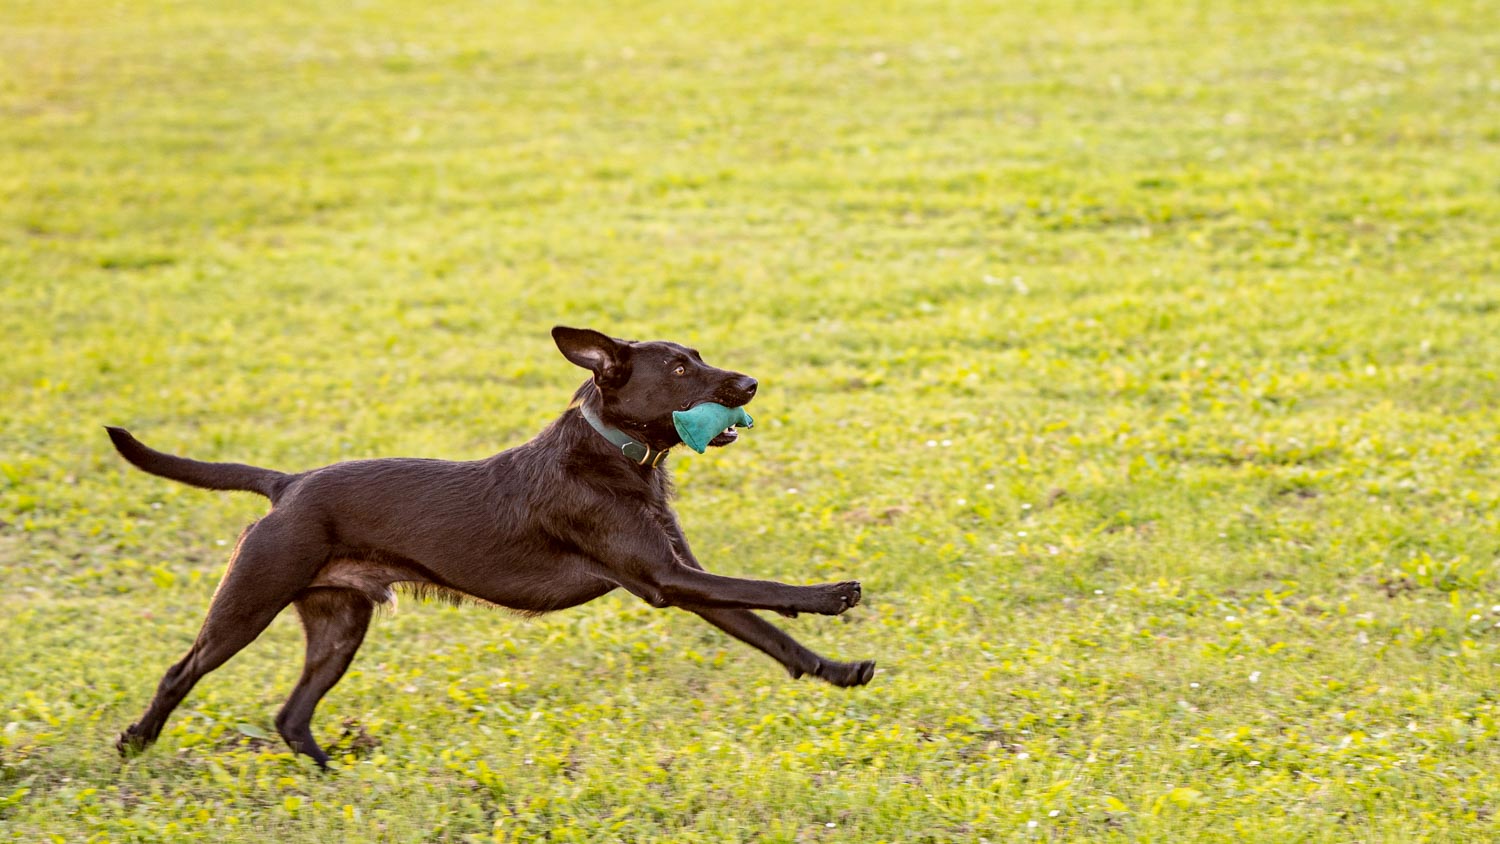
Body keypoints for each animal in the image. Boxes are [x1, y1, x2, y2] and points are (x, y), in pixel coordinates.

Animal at [105, 326, 876, 767]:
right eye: (682, 370)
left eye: (701, 358)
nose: (751, 384)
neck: (612, 452)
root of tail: (287, 484)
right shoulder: (665, 580)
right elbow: (766, 591)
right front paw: (831, 595)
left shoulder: (684, 578)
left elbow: (772, 637)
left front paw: (838, 670)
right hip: (249, 602)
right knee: (180, 671)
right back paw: (135, 741)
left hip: (339, 625)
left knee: (291, 717)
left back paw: (332, 773)